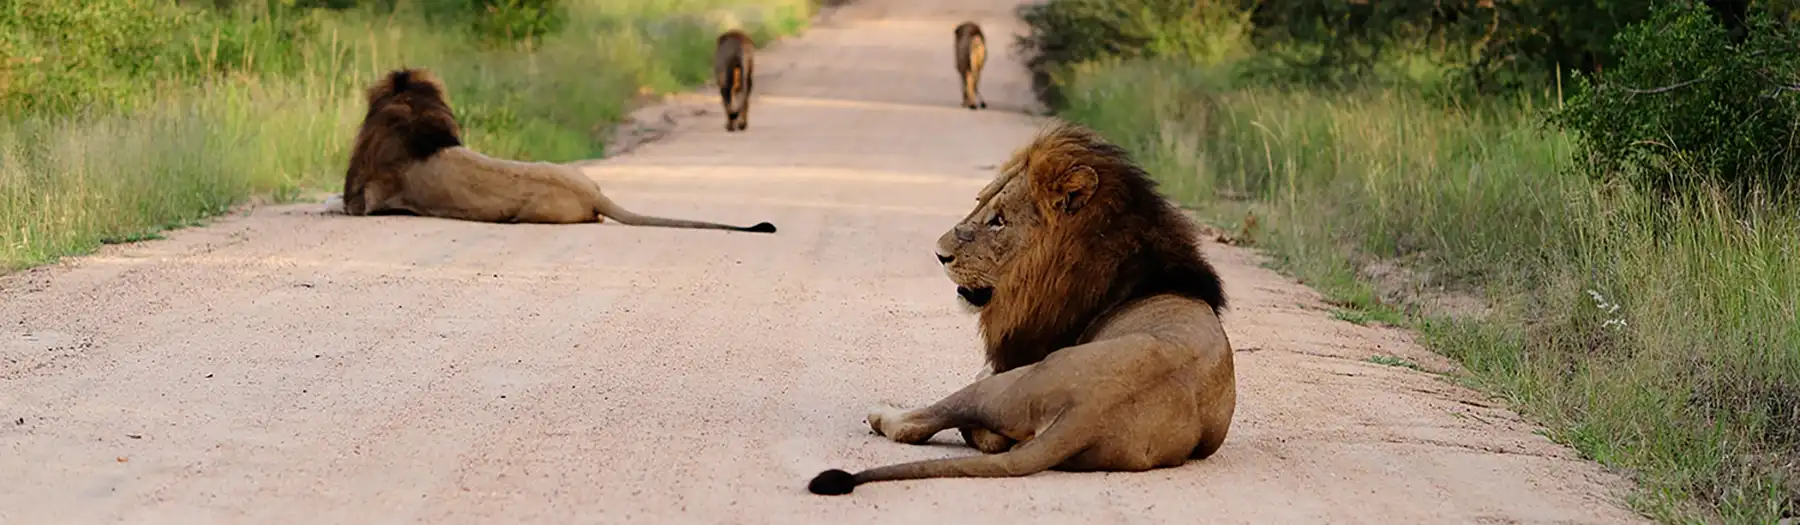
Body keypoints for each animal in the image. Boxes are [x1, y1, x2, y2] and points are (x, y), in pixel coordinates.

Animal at [807, 121, 1234, 495]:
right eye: (979, 203)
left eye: (999, 221)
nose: (939, 254)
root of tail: (1085, 414)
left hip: (1005, 386)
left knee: (920, 424)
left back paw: (885, 415)